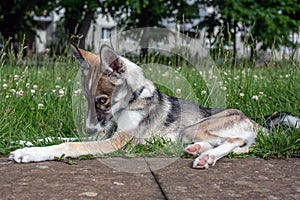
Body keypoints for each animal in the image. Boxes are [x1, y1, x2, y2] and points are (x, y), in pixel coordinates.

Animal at [8, 44, 298, 168]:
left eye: (102, 100)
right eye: (88, 99)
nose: (90, 130)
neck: (133, 99)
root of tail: (255, 121)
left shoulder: (114, 142)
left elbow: (69, 145)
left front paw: (29, 154)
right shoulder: (104, 135)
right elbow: (55, 137)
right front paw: (24, 143)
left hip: (198, 126)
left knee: (236, 141)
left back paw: (206, 157)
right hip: (190, 133)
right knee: (239, 145)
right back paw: (198, 151)